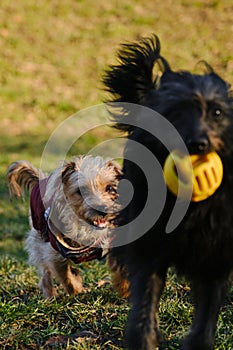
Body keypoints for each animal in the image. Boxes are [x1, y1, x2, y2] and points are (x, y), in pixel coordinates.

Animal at [6, 156, 122, 298]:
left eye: (110, 188)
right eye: (81, 192)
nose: (102, 210)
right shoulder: (52, 252)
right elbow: (66, 277)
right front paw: (76, 289)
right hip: (38, 241)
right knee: (45, 273)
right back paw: (50, 295)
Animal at [103, 36, 233, 350]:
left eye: (217, 112)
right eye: (176, 111)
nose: (198, 144)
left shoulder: (217, 256)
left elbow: (207, 314)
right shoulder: (150, 247)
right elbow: (145, 301)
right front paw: (144, 339)